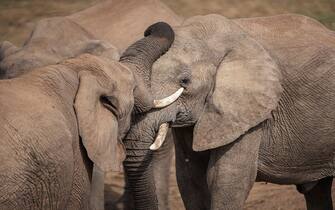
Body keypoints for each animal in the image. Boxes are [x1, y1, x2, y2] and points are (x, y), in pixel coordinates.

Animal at [122, 13, 335, 209]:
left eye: (185, 81)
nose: (150, 28)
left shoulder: (249, 111)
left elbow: (226, 179)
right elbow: (190, 178)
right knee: (319, 189)